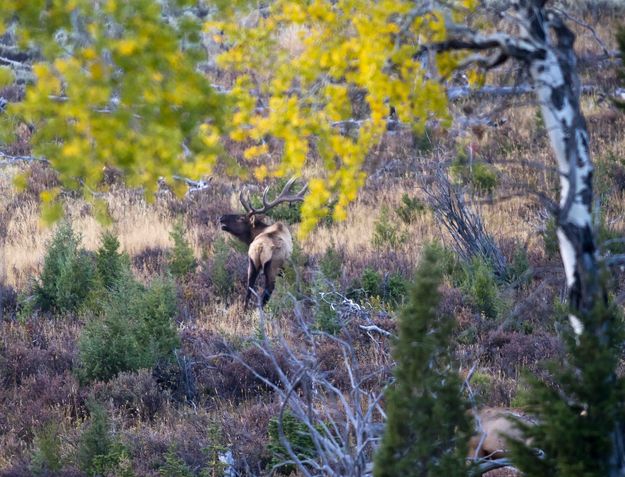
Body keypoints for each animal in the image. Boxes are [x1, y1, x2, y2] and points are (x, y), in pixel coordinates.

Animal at [218, 178, 308, 308]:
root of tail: (260, 247)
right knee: (266, 293)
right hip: (272, 267)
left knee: (249, 290)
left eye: (240, 218)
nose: (221, 218)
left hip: (252, 263)